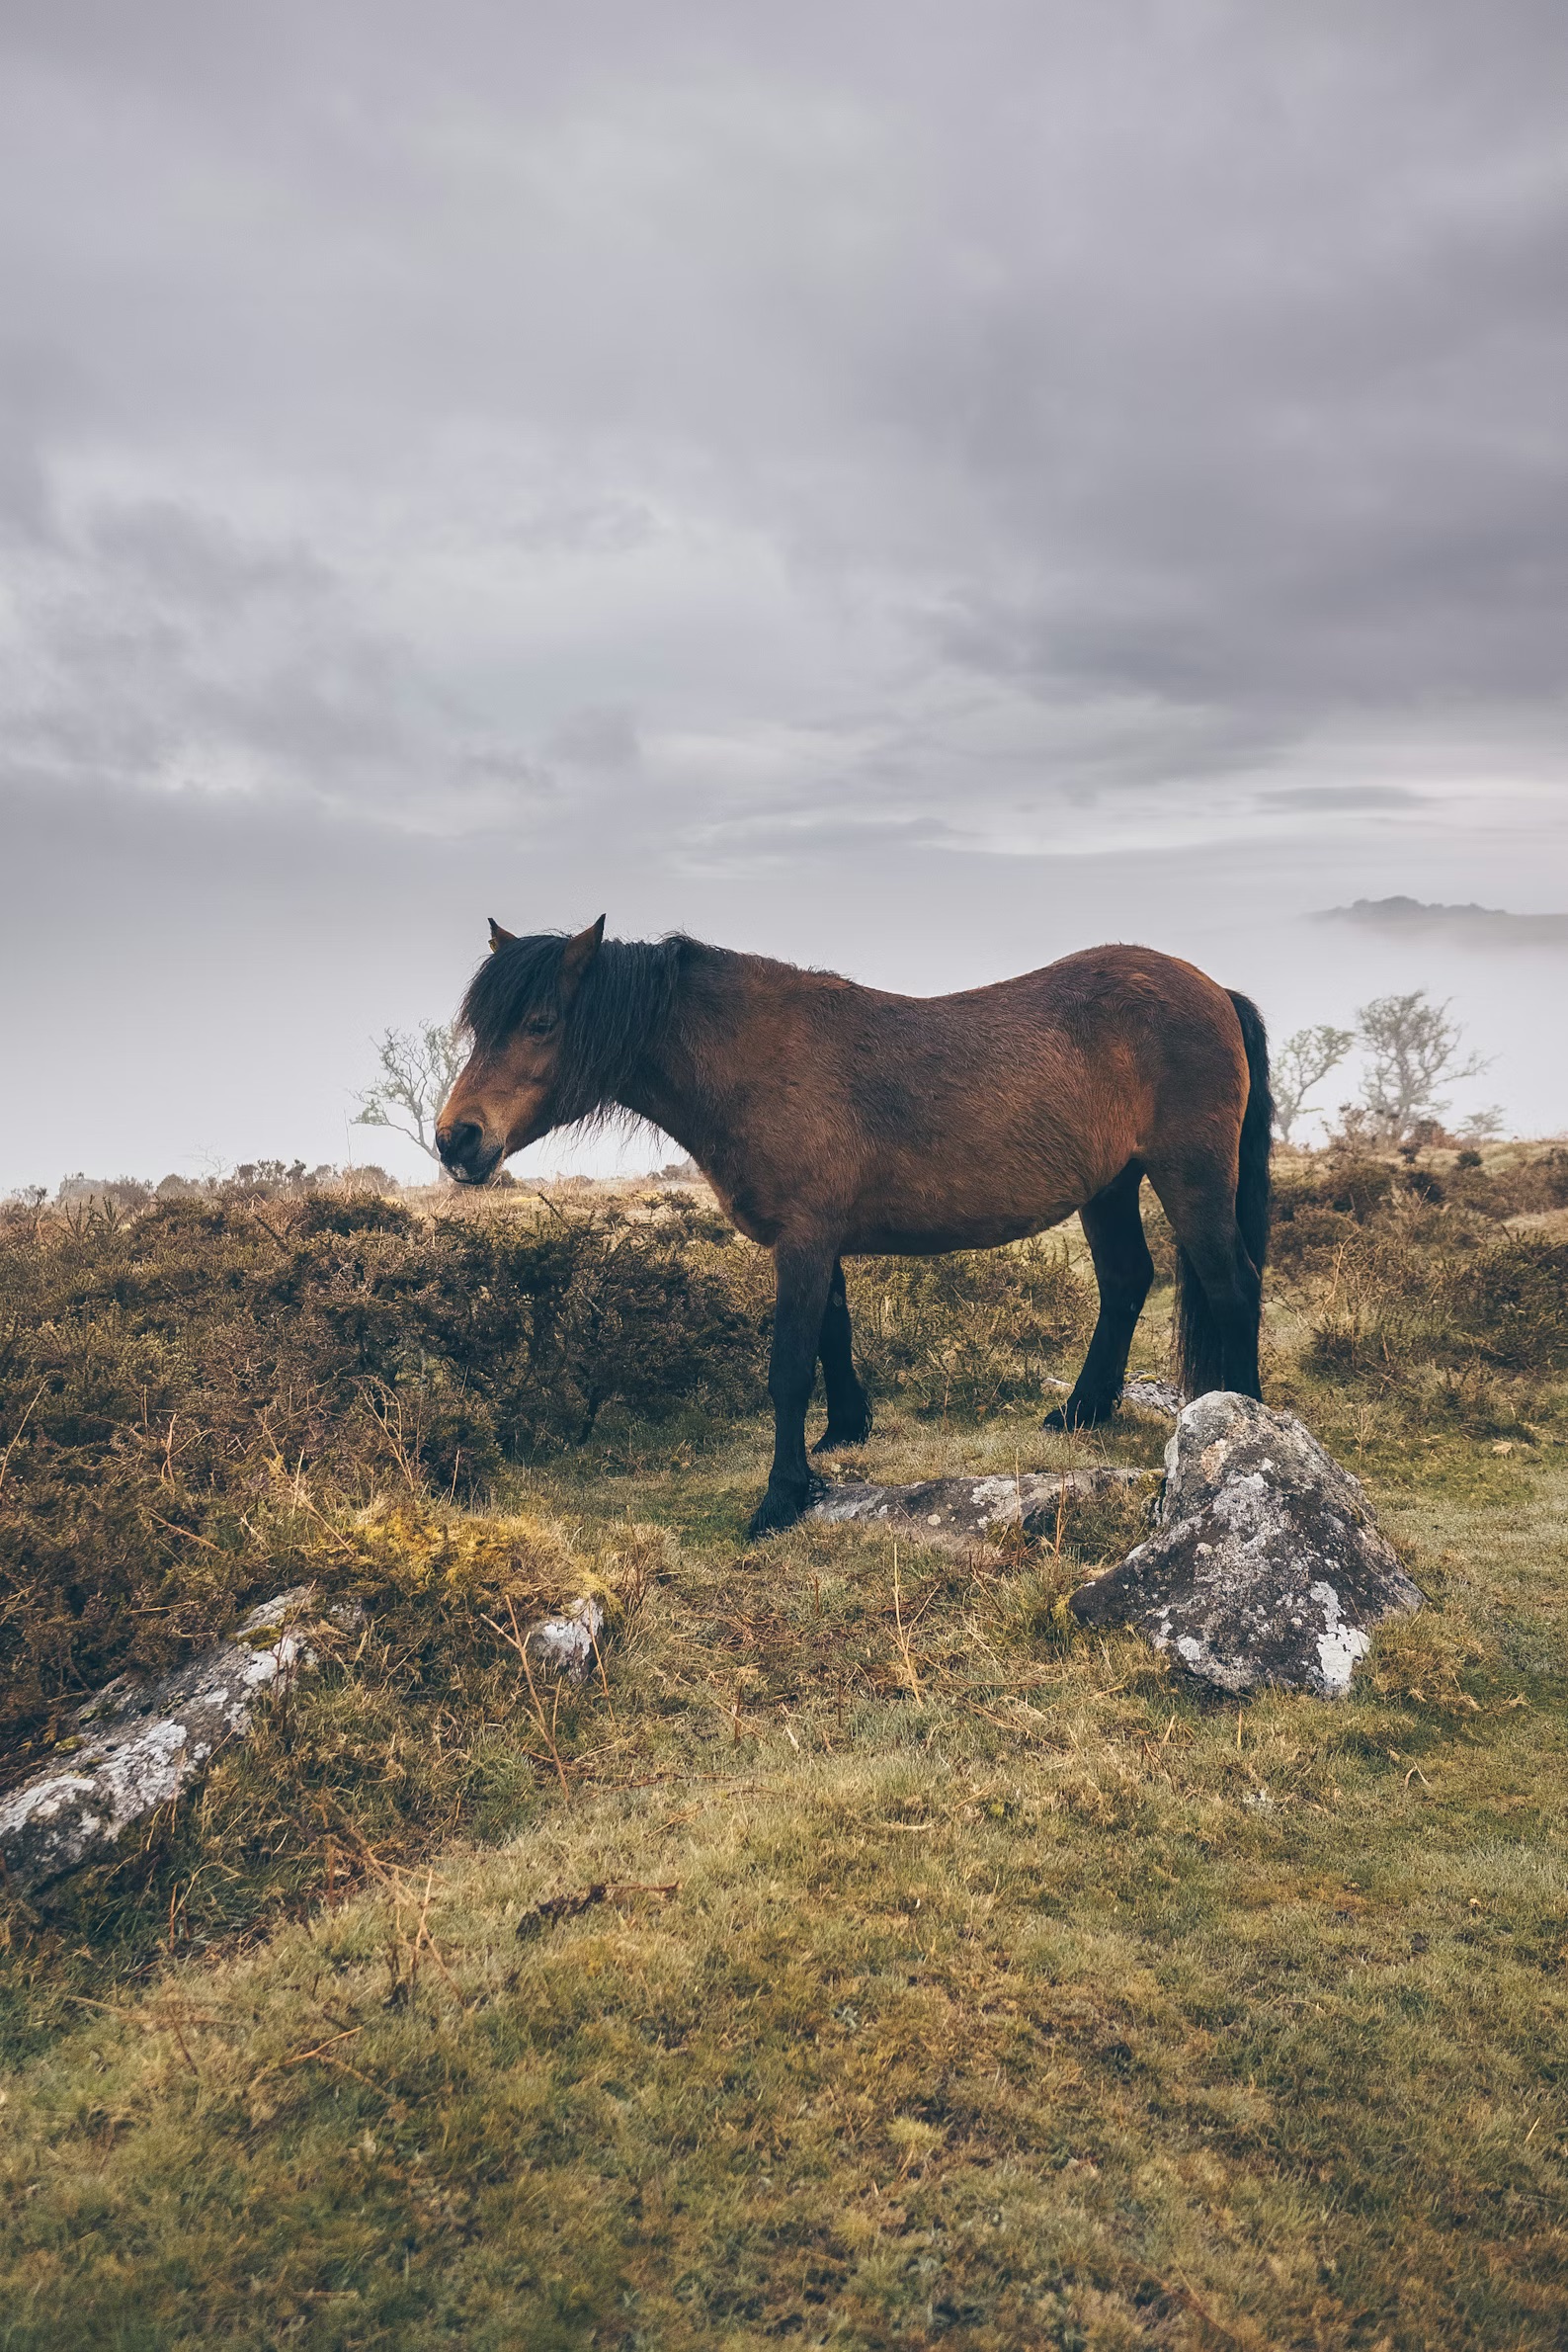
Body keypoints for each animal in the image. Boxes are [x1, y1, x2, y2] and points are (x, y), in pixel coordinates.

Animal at [436, 917, 1272, 1535]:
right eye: (480, 1028)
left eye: (541, 1022)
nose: (456, 1140)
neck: (753, 1058)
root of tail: (1211, 990)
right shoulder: (814, 1241)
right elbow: (833, 1337)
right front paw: (841, 1435)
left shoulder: (804, 1241)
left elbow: (787, 1366)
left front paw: (779, 1498)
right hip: (1108, 1185)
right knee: (1126, 1282)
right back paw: (1077, 1412)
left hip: (1189, 1174)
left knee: (1231, 1285)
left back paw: (1247, 1422)